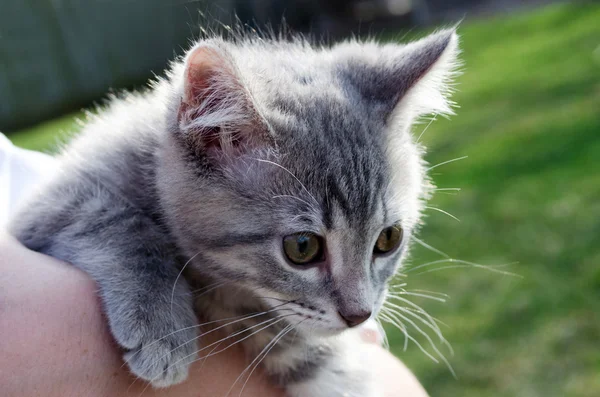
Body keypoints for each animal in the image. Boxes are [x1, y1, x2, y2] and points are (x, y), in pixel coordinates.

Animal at [8, 28, 460, 396]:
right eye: (302, 247)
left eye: (388, 239)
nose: (358, 315)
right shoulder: (48, 205)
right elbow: (114, 219)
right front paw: (159, 324)